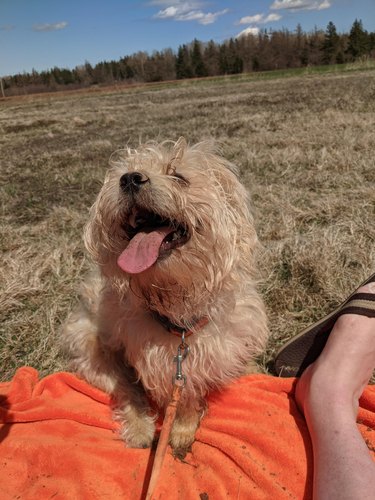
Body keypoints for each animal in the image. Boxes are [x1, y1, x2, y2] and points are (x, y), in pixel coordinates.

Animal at [63, 138, 268, 454]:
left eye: (179, 176)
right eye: (122, 175)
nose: (129, 178)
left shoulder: (211, 353)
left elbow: (197, 389)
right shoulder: (164, 365)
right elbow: (181, 396)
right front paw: (180, 431)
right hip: (90, 346)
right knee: (125, 388)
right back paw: (140, 429)